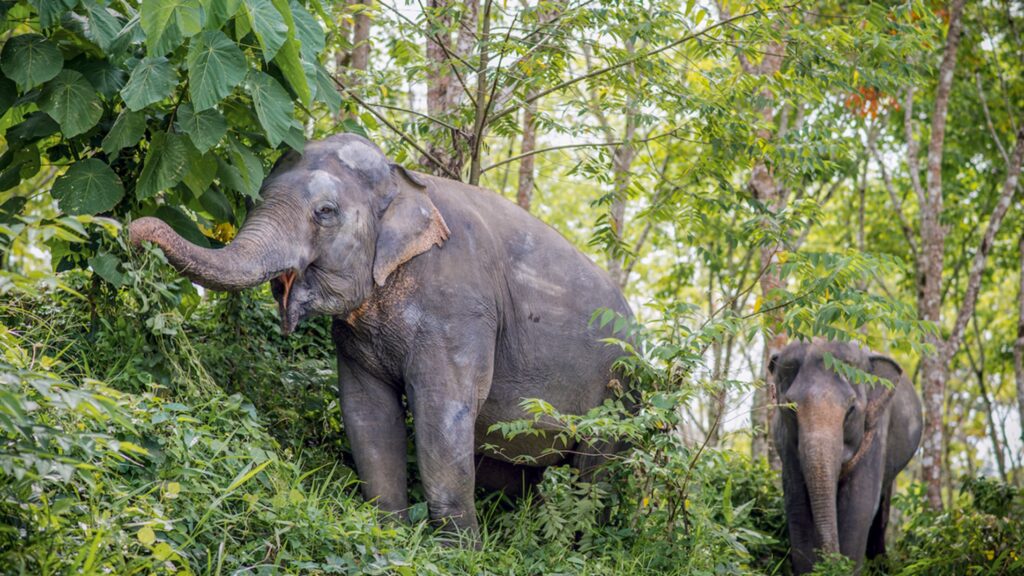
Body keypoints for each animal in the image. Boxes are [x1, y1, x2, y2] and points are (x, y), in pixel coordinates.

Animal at [128, 132, 630, 537]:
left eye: (325, 212)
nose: (134, 230)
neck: (403, 179)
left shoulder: (460, 308)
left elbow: (443, 412)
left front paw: (455, 553)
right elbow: (368, 412)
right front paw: (390, 534)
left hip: (620, 394)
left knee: (594, 470)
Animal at [770, 338, 925, 569]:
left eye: (851, 409)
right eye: (791, 408)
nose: (830, 561)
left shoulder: (876, 431)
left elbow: (858, 506)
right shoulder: (786, 441)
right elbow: (797, 506)